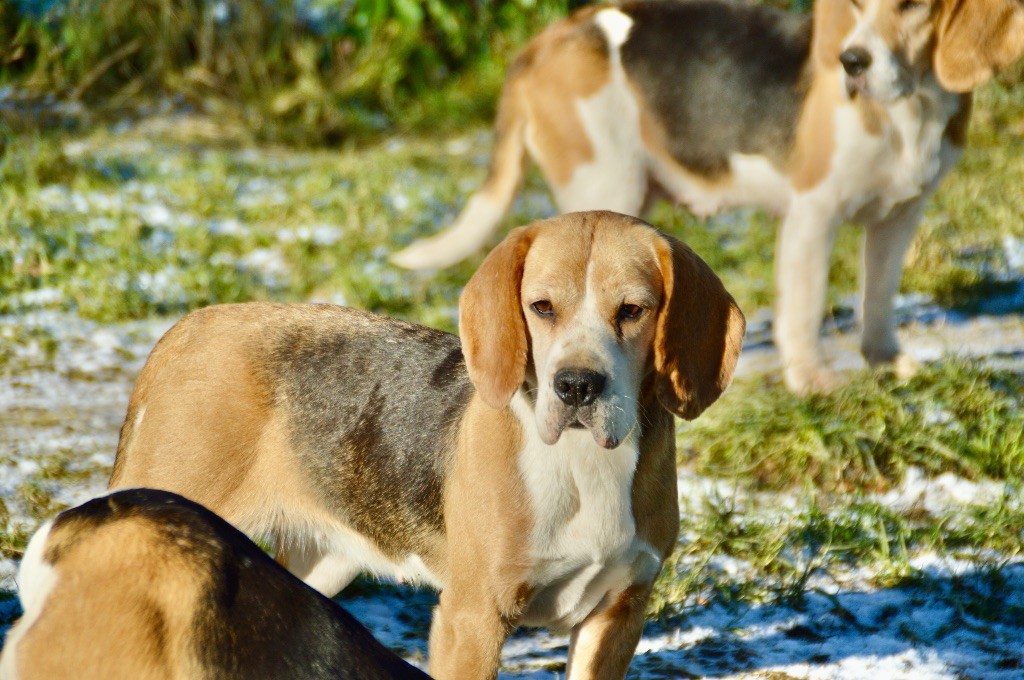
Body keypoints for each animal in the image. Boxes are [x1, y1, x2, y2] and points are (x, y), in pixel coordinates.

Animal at [108, 213, 745, 680]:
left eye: (633, 310)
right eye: (542, 307)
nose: (576, 386)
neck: (583, 464)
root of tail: (186, 330)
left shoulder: (616, 617)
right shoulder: (473, 619)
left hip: (323, 562)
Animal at [389, 0, 1024, 393]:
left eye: (914, 6)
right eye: (857, 7)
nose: (852, 62)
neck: (911, 108)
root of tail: (544, 41)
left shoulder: (901, 215)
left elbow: (879, 297)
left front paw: (886, 362)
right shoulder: (813, 215)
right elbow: (805, 307)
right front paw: (813, 381)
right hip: (608, 186)